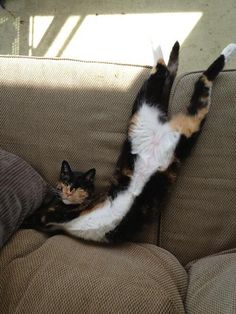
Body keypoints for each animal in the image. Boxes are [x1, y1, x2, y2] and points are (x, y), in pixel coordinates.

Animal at [45, 41, 236, 243]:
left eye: (78, 185)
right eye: (66, 181)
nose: (68, 191)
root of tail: (163, 122)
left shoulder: (50, 215)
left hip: (146, 105)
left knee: (164, 70)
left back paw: (157, 44)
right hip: (187, 123)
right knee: (195, 82)